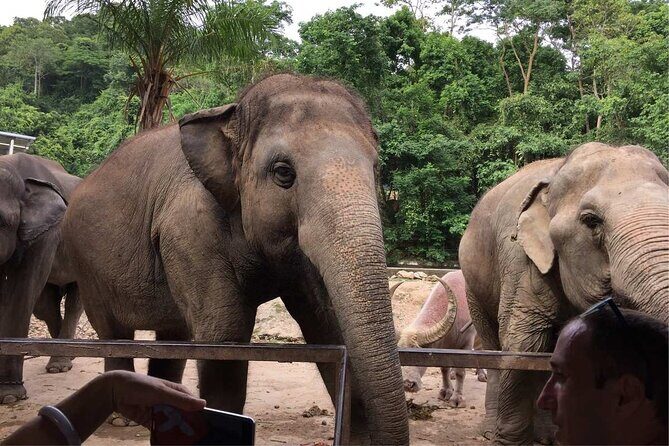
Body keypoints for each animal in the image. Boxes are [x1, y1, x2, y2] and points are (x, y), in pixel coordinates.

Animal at [0, 153, 83, 404]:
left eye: (0, 220)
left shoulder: (47, 233)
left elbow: (20, 294)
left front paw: (9, 396)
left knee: (74, 302)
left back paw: (60, 364)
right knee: (45, 306)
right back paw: (67, 357)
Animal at [60, 74, 409, 444]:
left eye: (376, 168)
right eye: (283, 173)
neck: (232, 115)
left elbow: (327, 326)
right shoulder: (188, 231)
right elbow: (223, 338)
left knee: (173, 336)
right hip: (87, 265)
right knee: (114, 331)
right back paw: (123, 419)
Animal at [395, 270, 486, 408]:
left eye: (420, 355)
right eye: (401, 355)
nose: (407, 384)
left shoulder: (466, 344)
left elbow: (461, 372)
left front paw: (457, 399)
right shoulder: (442, 348)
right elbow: (444, 368)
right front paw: (446, 391)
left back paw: (482, 375)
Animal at [459, 142, 669, 444]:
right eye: (591, 221)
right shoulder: (520, 259)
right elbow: (523, 346)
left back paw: (547, 436)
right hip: (473, 286)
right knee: (493, 345)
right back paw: (490, 431)